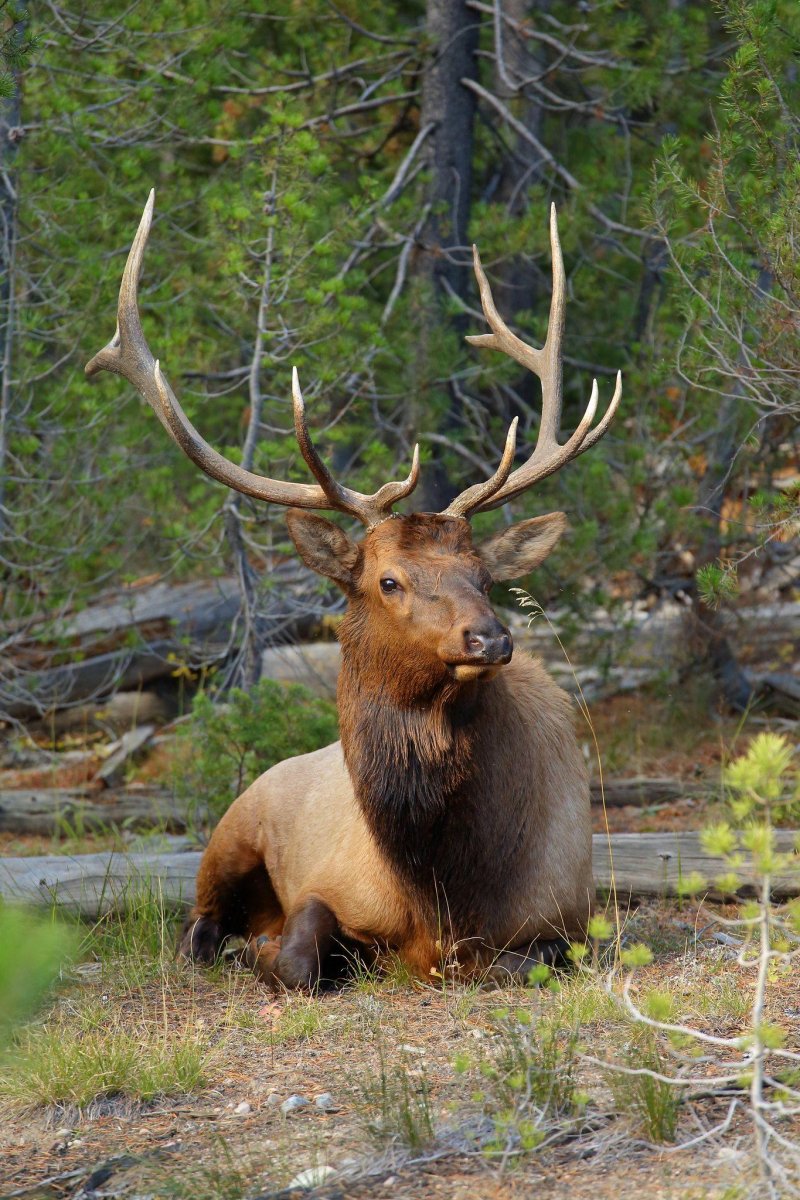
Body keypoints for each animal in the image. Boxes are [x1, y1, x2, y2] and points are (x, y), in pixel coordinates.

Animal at [89, 194, 623, 984]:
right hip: (230, 829)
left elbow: (517, 962)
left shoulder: (569, 917)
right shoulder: (331, 886)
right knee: (194, 922)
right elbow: (300, 952)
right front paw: (267, 947)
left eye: (484, 575)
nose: (489, 637)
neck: (443, 892)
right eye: (387, 579)